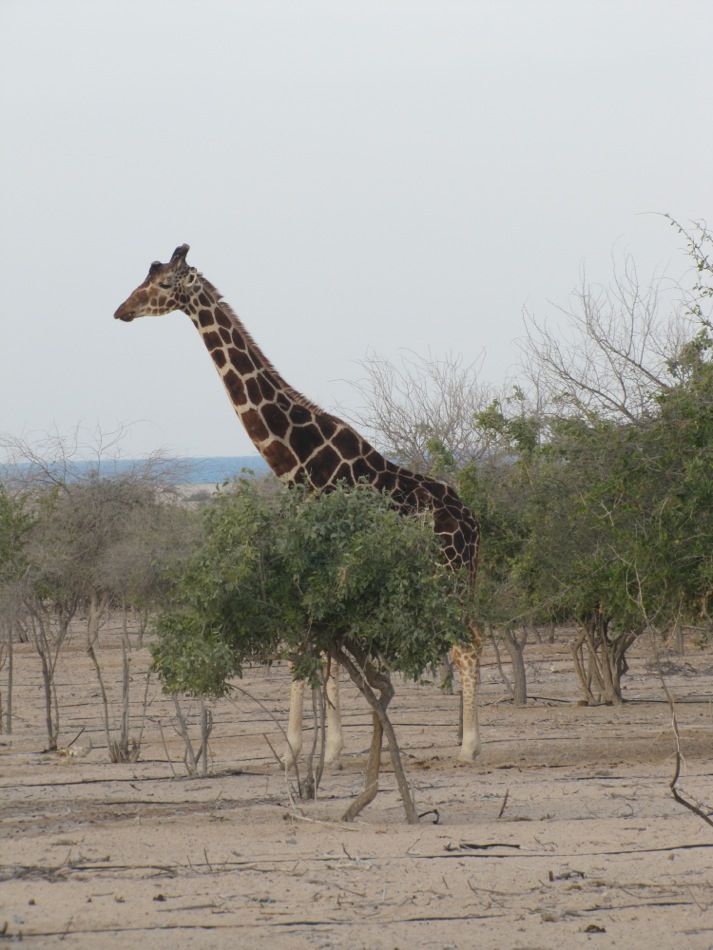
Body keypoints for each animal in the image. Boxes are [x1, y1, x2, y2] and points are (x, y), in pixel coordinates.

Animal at [114, 244, 482, 764]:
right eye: (145, 277)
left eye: (165, 283)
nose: (121, 310)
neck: (299, 463)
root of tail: (474, 525)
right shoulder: (314, 566)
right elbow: (321, 650)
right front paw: (327, 750)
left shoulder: (326, 563)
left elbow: (310, 650)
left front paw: (297, 750)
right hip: (458, 577)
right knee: (473, 640)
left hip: (446, 574)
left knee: (465, 643)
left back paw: (468, 747)